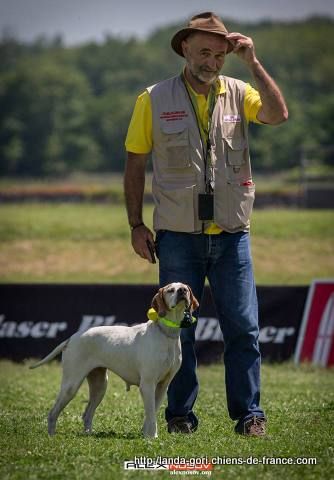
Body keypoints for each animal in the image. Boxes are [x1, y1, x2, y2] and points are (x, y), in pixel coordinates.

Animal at [30, 282, 197, 438]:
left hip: (100, 386)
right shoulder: (148, 385)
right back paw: (51, 435)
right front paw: (151, 437)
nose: (182, 291)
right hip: (71, 385)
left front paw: (147, 434)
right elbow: (151, 415)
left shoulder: (162, 386)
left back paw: (88, 434)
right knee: (53, 413)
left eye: (185, 288)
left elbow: (152, 413)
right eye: (170, 290)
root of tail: (72, 338)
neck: (166, 334)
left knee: (87, 414)